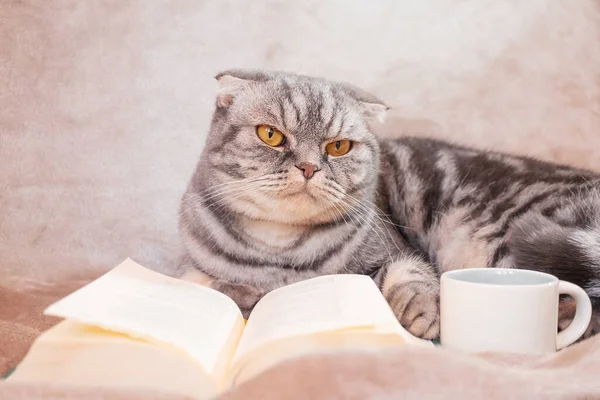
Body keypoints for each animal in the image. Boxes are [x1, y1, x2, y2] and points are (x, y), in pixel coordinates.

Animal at [178, 68, 600, 338]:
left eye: (338, 146)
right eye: (271, 135)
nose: (310, 167)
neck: (281, 249)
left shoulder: (397, 250)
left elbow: (411, 273)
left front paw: (421, 311)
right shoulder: (191, 266)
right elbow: (204, 281)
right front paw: (243, 293)